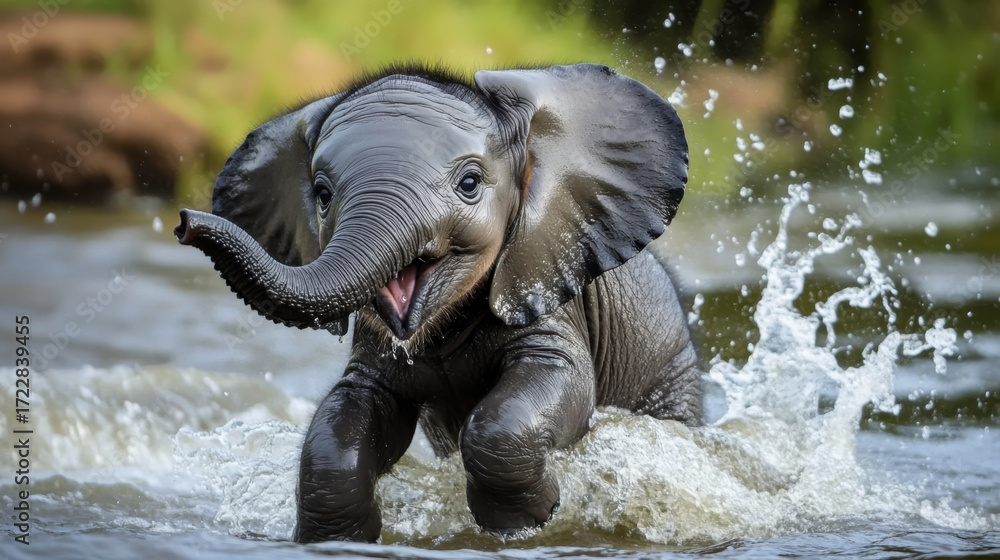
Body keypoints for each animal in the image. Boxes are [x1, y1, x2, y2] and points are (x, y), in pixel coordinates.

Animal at [174, 63, 702, 543]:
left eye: (469, 184)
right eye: (322, 194)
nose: (183, 223)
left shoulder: (545, 282)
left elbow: (555, 383)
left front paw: (533, 521)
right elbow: (350, 418)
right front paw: (338, 540)